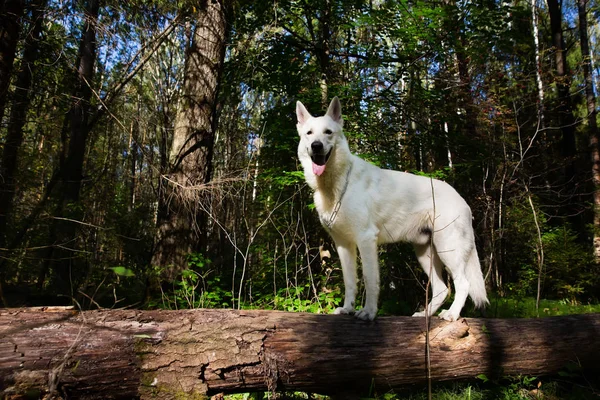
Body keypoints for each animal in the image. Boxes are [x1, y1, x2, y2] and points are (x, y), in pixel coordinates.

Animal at [296, 97, 488, 322]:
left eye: (328, 132)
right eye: (309, 133)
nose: (316, 146)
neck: (338, 183)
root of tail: (462, 199)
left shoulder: (366, 240)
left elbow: (370, 280)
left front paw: (368, 312)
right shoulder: (344, 245)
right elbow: (350, 282)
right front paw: (347, 309)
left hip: (448, 249)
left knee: (462, 283)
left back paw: (451, 314)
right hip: (425, 254)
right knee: (442, 289)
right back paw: (424, 314)